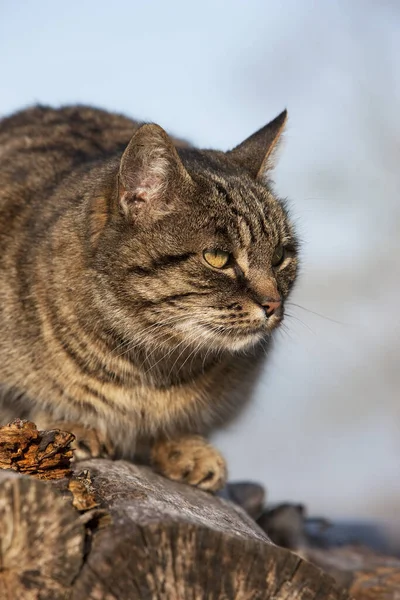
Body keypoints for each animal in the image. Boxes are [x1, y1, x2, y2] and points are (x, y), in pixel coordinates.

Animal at [0, 104, 296, 488]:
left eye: (279, 257)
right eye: (218, 257)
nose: (274, 304)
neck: (149, 371)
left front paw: (185, 446)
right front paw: (70, 425)